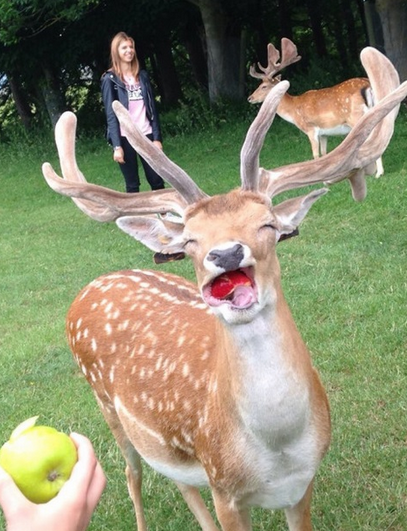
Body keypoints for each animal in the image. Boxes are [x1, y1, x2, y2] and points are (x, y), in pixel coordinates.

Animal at [249, 38, 386, 179]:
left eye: (264, 86)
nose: (250, 98)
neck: (293, 110)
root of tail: (368, 85)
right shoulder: (324, 132)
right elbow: (324, 154)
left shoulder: (311, 128)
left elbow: (315, 155)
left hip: (356, 117)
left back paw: (378, 173)